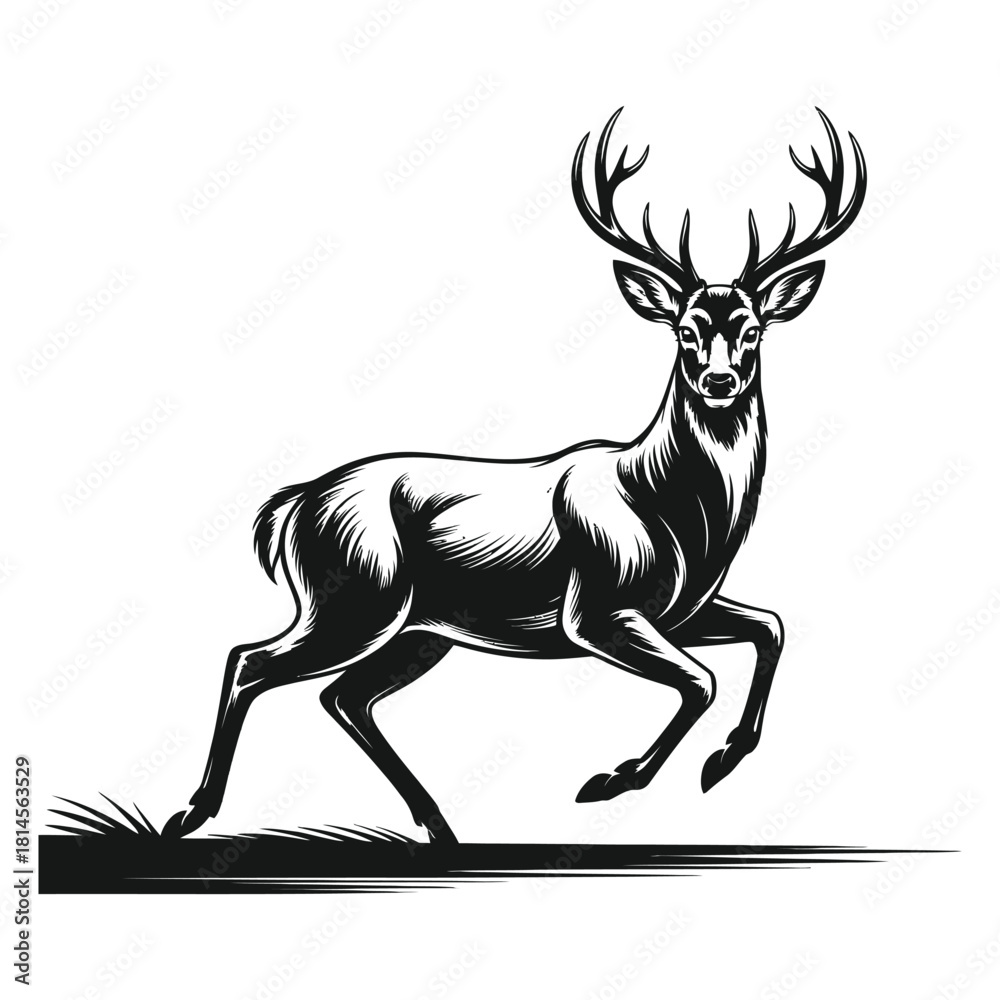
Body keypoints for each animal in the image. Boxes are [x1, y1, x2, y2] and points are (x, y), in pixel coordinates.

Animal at [165, 107, 866, 845]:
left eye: (753, 330)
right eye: (685, 329)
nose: (720, 380)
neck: (673, 507)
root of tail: (292, 506)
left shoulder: (683, 611)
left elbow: (771, 627)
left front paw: (724, 759)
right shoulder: (598, 607)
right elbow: (701, 681)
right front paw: (618, 778)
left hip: (417, 630)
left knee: (342, 695)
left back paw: (439, 825)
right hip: (353, 596)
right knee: (250, 660)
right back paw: (191, 812)